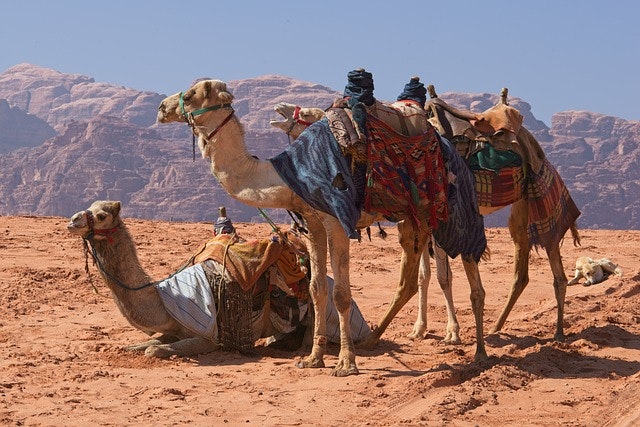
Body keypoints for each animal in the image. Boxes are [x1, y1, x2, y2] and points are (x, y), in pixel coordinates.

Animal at [67, 200, 309, 358]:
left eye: (101, 215)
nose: (73, 220)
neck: (164, 298)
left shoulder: (209, 337)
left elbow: (152, 350)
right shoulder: (173, 328)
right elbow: (146, 343)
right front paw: (131, 347)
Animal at [157, 78, 488, 376]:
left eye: (192, 93)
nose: (162, 107)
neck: (288, 175)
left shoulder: (336, 220)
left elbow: (341, 294)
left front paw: (346, 363)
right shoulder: (312, 222)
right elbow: (316, 289)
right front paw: (313, 358)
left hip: (455, 212)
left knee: (470, 274)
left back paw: (480, 354)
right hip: (413, 219)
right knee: (409, 279)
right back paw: (374, 339)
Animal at [269, 83, 582, 344]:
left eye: (305, 113)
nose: (278, 108)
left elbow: (442, 277)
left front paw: (452, 332)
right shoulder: (424, 221)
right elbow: (426, 277)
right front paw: (420, 329)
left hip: (536, 198)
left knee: (553, 260)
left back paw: (557, 332)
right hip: (518, 211)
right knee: (522, 269)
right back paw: (497, 327)